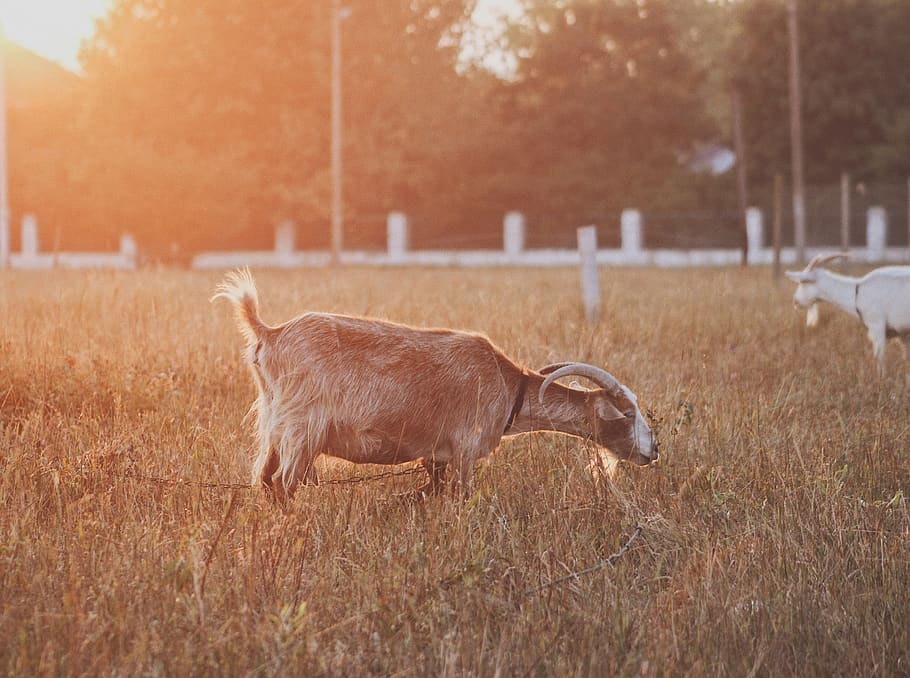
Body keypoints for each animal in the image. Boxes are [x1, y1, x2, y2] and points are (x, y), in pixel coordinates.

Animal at [213, 269, 659, 503]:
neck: (508, 386)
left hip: (275, 423)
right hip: (302, 427)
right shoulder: (465, 448)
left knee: (265, 481)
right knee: (283, 484)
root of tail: (269, 333)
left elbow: (430, 491)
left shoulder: (436, 455)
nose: (653, 450)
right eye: (626, 413)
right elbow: (462, 498)